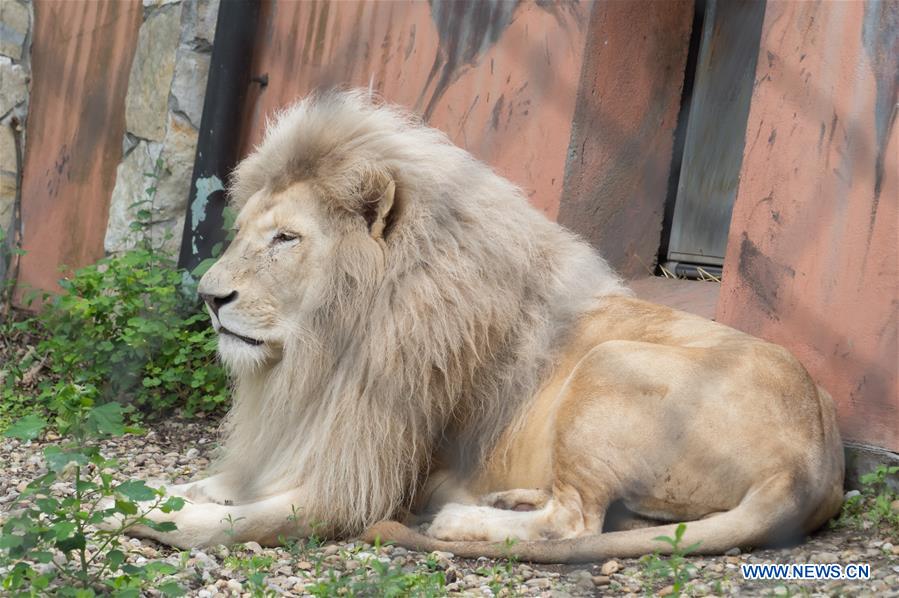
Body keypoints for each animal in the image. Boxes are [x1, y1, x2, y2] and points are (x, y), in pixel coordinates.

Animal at [125, 90, 844, 562]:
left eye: (285, 239)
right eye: (245, 232)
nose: (209, 298)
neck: (321, 350)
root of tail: (811, 466)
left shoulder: (355, 484)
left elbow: (215, 523)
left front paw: (125, 510)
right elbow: (203, 487)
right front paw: (152, 488)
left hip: (609, 362)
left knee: (576, 524)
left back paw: (457, 522)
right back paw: (504, 502)